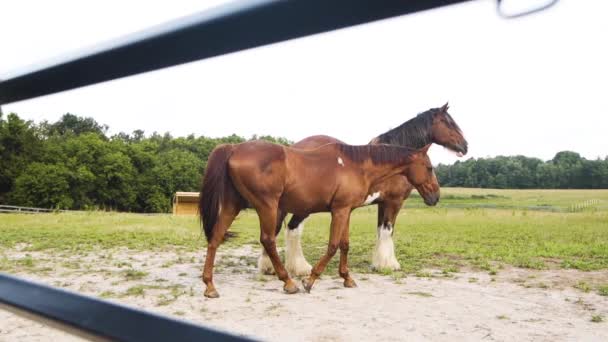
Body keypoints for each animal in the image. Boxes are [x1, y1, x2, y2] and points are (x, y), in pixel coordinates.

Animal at [202, 141, 440, 296]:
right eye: (429, 167)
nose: (435, 196)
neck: (356, 165)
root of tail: (233, 148)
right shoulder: (340, 210)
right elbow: (333, 245)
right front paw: (310, 280)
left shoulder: (347, 211)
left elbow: (344, 244)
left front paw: (347, 278)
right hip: (267, 206)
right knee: (268, 240)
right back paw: (289, 282)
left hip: (232, 206)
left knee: (215, 238)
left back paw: (210, 286)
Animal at [258, 102, 468, 276]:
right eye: (448, 122)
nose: (465, 146)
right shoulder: (394, 202)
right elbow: (388, 230)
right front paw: (388, 265)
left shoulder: (382, 203)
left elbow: (381, 230)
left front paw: (379, 263)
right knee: (291, 229)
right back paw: (299, 268)